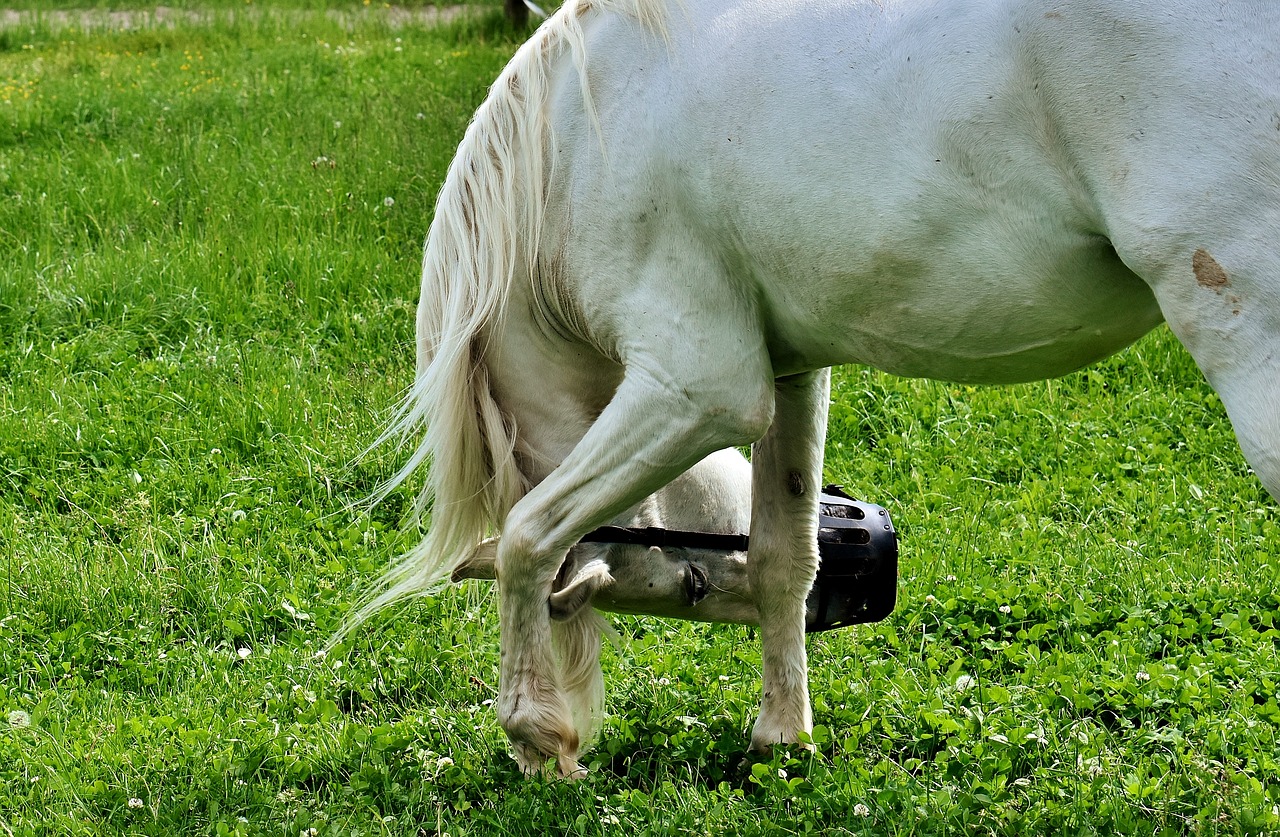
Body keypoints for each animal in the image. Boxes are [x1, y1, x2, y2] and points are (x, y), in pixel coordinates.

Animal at [350, 0, 1280, 778]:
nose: (876, 584)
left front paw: (535, 732)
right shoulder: (789, 371)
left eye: (689, 588)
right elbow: (783, 557)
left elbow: (528, 535)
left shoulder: (697, 389)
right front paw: (782, 735)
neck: (579, 139)